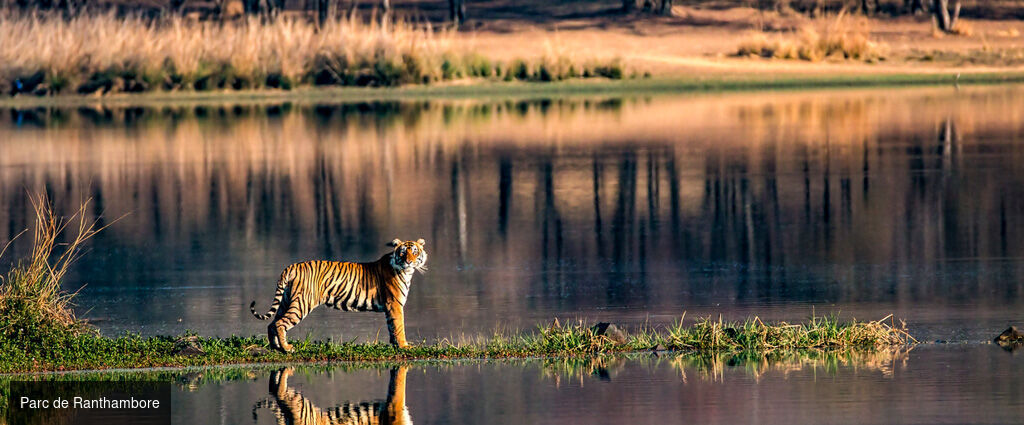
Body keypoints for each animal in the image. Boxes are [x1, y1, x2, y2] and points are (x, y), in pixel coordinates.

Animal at [250, 238, 427, 352]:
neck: (407, 272)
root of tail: (291, 266)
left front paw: (396, 345)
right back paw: (287, 348)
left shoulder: (391, 307)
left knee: (272, 323)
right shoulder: (394, 304)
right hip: (301, 304)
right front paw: (404, 346)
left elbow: (392, 327)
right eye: (403, 253)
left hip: (286, 301)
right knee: (281, 323)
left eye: (414, 252)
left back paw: (276, 347)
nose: (409, 262)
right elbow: (399, 326)